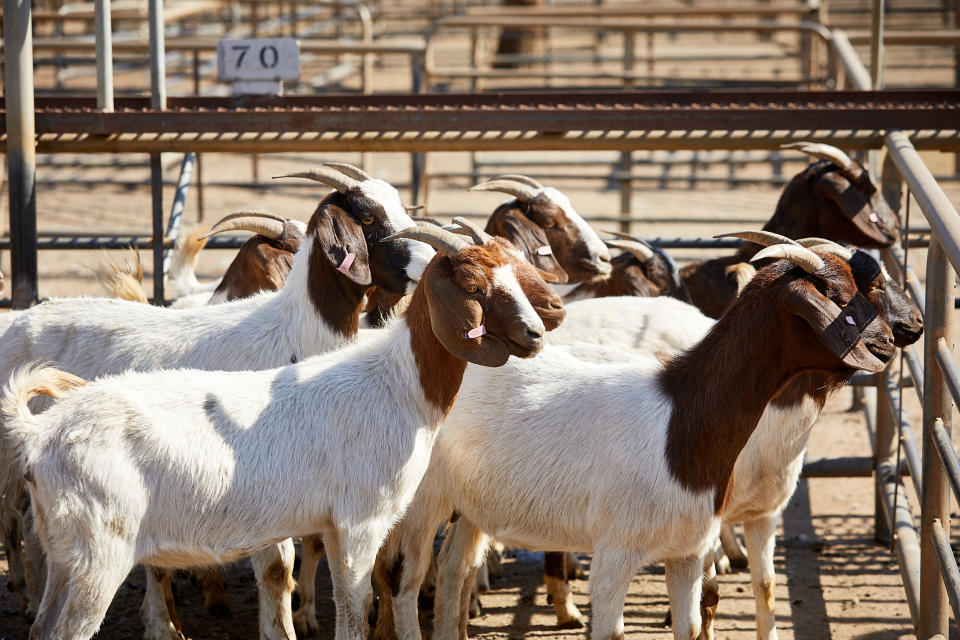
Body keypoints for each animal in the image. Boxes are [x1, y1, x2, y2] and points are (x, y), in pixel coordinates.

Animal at [0, 162, 436, 636]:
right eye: (369, 217)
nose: (431, 260)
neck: (294, 332)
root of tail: (18, 318)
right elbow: (277, 567)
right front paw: (279, 627)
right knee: (20, 527)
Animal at [0, 224, 552, 640]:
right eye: (474, 286)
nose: (536, 335)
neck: (396, 383)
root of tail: (41, 435)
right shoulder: (360, 521)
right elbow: (354, 613)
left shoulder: (330, 525)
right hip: (99, 553)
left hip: (65, 551)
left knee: (42, 627)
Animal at [372, 242, 896, 640]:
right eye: (836, 296)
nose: (890, 343)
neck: (681, 421)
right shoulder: (614, 551)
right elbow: (611, 632)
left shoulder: (688, 551)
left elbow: (691, 627)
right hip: (422, 498)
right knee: (404, 579)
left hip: (473, 502)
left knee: (454, 570)